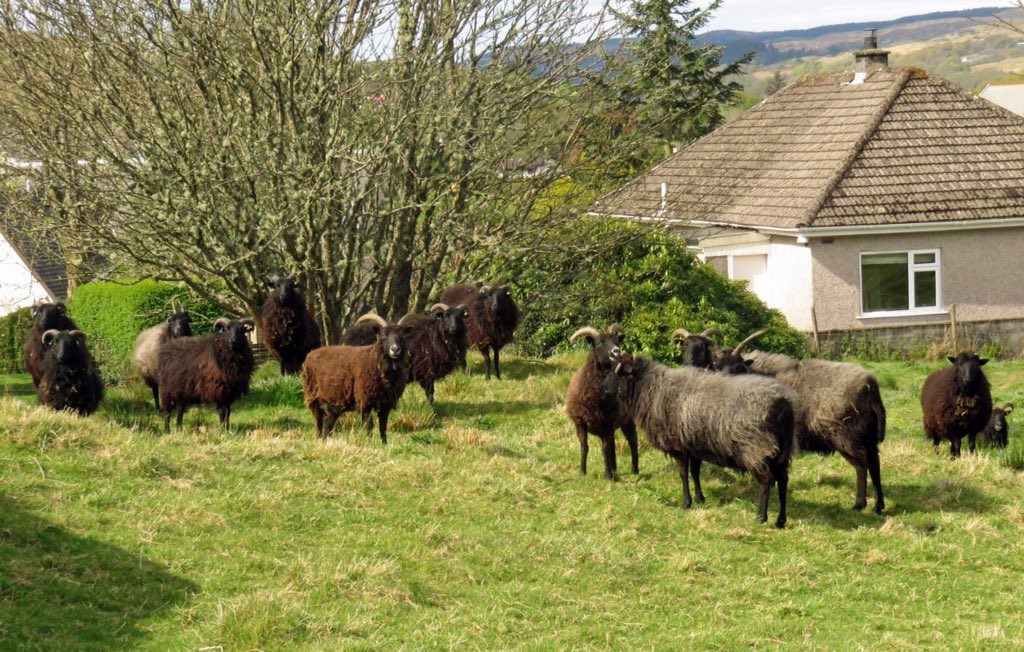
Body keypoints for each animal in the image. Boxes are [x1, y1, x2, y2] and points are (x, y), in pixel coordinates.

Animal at [301, 314, 414, 444]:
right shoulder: (364, 401)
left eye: (402, 336)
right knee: (319, 419)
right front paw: (369, 443)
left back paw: (326, 439)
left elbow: (383, 428)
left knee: (328, 420)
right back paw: (319, 438)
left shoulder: (385, 404)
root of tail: (310, 354)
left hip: (335, 400)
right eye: (383, 336)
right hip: (312, 396)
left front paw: (384, 444)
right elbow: (369, 426)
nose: (395, 349)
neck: (375, 360)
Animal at [565, 324, 639, 479]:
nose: (616, 351)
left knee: (632, 441)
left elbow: (604, 449)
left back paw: (634, 470)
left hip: (627, 420)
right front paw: (582, 472)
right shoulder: (580, 422)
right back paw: (615, 468)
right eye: (599, 343)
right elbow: (584, 447)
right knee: (613, 445)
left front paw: (608, 476)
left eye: (617, 341)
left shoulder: (607, 424)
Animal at [605, 349, 797, 527]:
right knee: (783, 481)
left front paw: (686, 503)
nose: (604, 391)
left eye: (619, 373)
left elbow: (683, 474)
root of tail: (782, 404)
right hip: (780, 451)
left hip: (756, 449)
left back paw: (761, 517)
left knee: (766, 481)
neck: (652, 389)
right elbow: (695, 472)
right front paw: (700, 498)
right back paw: (781, 520)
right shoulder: (694, 445)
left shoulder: (678, 446)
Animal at [734, 351, 888, 514]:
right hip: (868, 436)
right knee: (874, 464)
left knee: (862, 464)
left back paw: (859, 503)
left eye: (739, 368)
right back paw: (878, 506)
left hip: (847, 437)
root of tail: (870, 385)